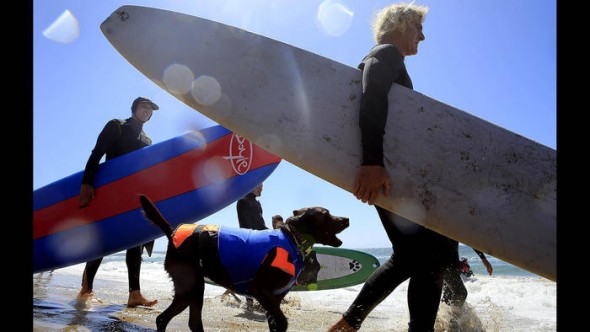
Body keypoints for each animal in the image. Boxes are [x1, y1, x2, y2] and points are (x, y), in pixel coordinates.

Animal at [139, 193, 350, 330]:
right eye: (326, 214)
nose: (347, 218)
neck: (293, 238)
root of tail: (173, 233)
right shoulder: (262, 292)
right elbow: (283, 322)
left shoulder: (274, 301)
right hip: (193, 286)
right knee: (178, 320)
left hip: (189, 291)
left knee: (171, 320)